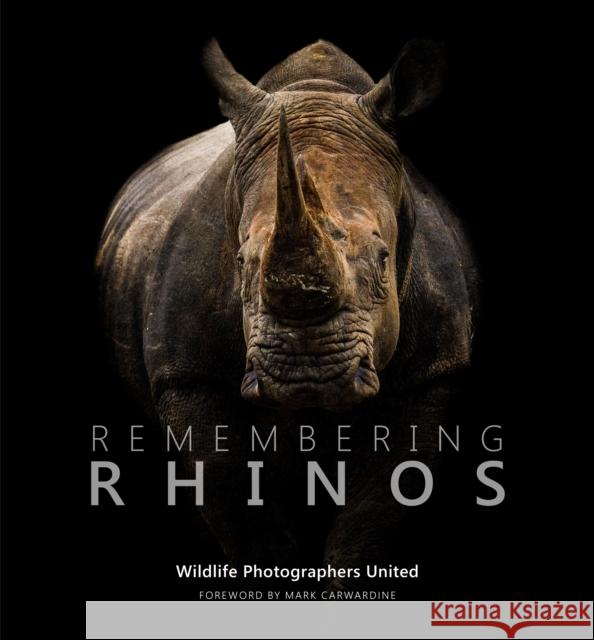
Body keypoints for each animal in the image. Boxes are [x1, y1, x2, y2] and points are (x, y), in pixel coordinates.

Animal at [96, 38, 478, 584]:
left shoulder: (432, 375)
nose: (307, 376)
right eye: (240, 262)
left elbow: (367, 526)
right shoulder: (189, 379)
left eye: (384, 258)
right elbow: (248, 524)